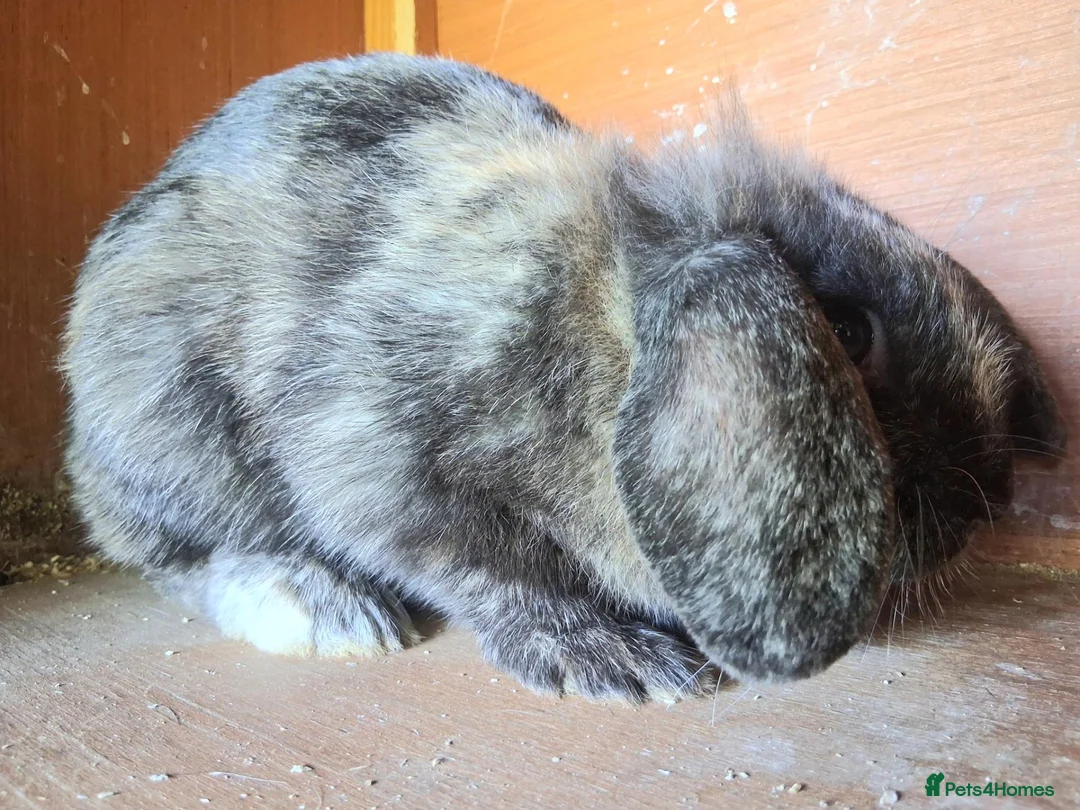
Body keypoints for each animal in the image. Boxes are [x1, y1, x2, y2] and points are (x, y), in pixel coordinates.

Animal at [60, 52, 1065, 702]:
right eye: (849, 332)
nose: (989, 501)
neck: (597, 314)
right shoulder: (381, 464)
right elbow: (490, 573)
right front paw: (611, 662)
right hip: (173, 432)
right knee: (181, 560)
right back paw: (320, 611)